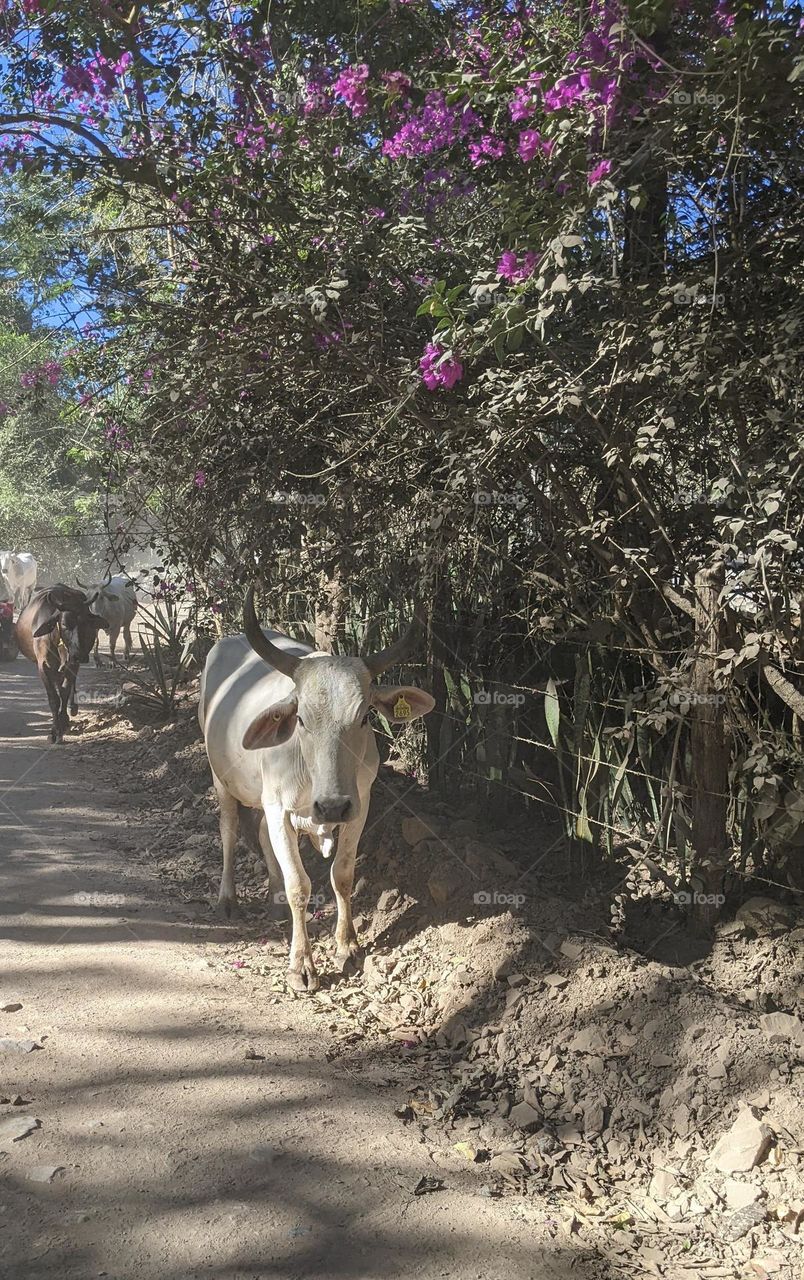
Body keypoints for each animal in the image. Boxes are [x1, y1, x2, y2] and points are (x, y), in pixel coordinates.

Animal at [15, 586, 108, 747]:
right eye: (64, 624)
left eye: (86, 622)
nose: (80, 654)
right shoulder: (44, 667)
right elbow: (54, 699)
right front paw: (54, 731)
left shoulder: (72, 664)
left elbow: (64, 692)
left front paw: (62, 723)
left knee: (69, 684)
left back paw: (72, 707)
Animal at [199, 586, 432, 993]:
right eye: (302, 719)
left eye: (365, 716)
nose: (332, 807)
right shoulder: (279, 807)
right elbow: (299, 885)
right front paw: (301, 965)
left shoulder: (360, 804)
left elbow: (342, 875)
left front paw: (347, 946)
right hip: (221, 779)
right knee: (228, 831)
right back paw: (227, 899)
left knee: (262, 834)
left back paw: (273, 899)